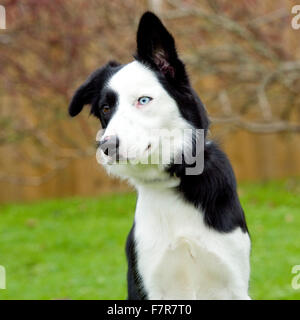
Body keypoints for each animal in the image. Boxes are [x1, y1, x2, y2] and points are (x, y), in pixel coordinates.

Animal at [68, 10, 251, 300]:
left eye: (143, 100)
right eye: (106, 108)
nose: (107, 146)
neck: (174, 181)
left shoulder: (232, 283)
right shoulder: (148, 286)